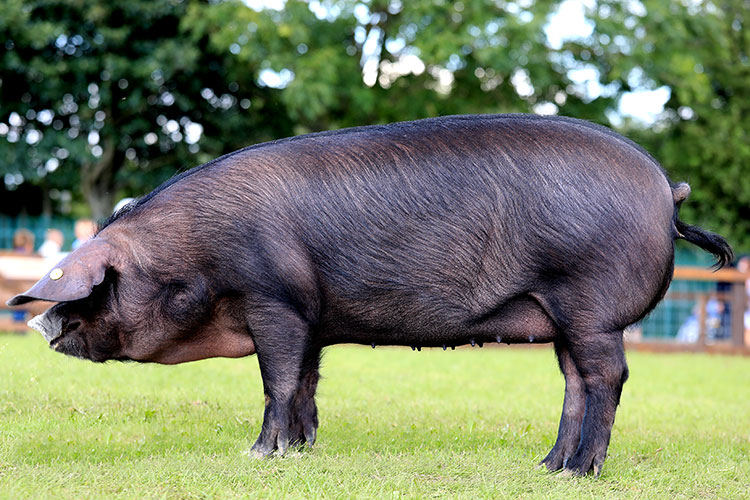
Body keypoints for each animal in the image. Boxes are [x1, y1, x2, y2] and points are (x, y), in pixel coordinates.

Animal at [8, 114, 732, 476]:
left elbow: (275, 381)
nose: (41, 326)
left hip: (592, 306)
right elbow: (304, 381)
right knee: (576, 383)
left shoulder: (274, 298)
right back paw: (546, 467)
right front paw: (302, 451)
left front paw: (258, 455)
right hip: (562, 318)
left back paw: (581, 472)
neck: (196, 252)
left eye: (99, 287)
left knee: (607, 377)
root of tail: (667, 189)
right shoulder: (311, 314)